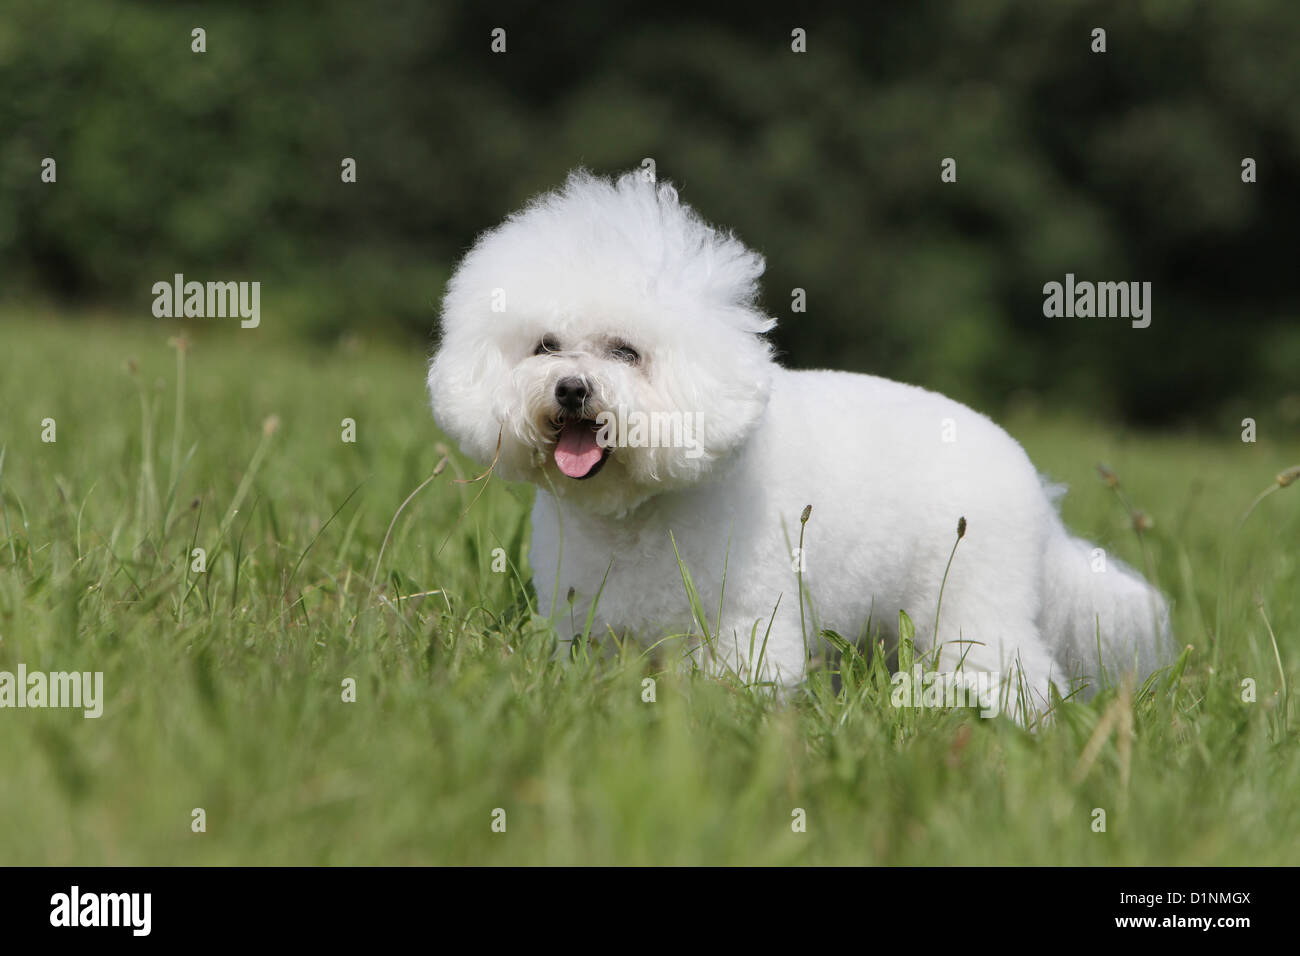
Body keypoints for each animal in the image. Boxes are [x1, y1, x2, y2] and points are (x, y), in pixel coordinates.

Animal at [431, 170, 1175, 717]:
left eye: (625, 351)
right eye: (545, 346)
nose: (571, 390)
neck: (636, 514)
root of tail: (1037, 492)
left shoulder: (741, 621)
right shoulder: (591, 626)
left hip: (973, 601)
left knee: (1016, 670)